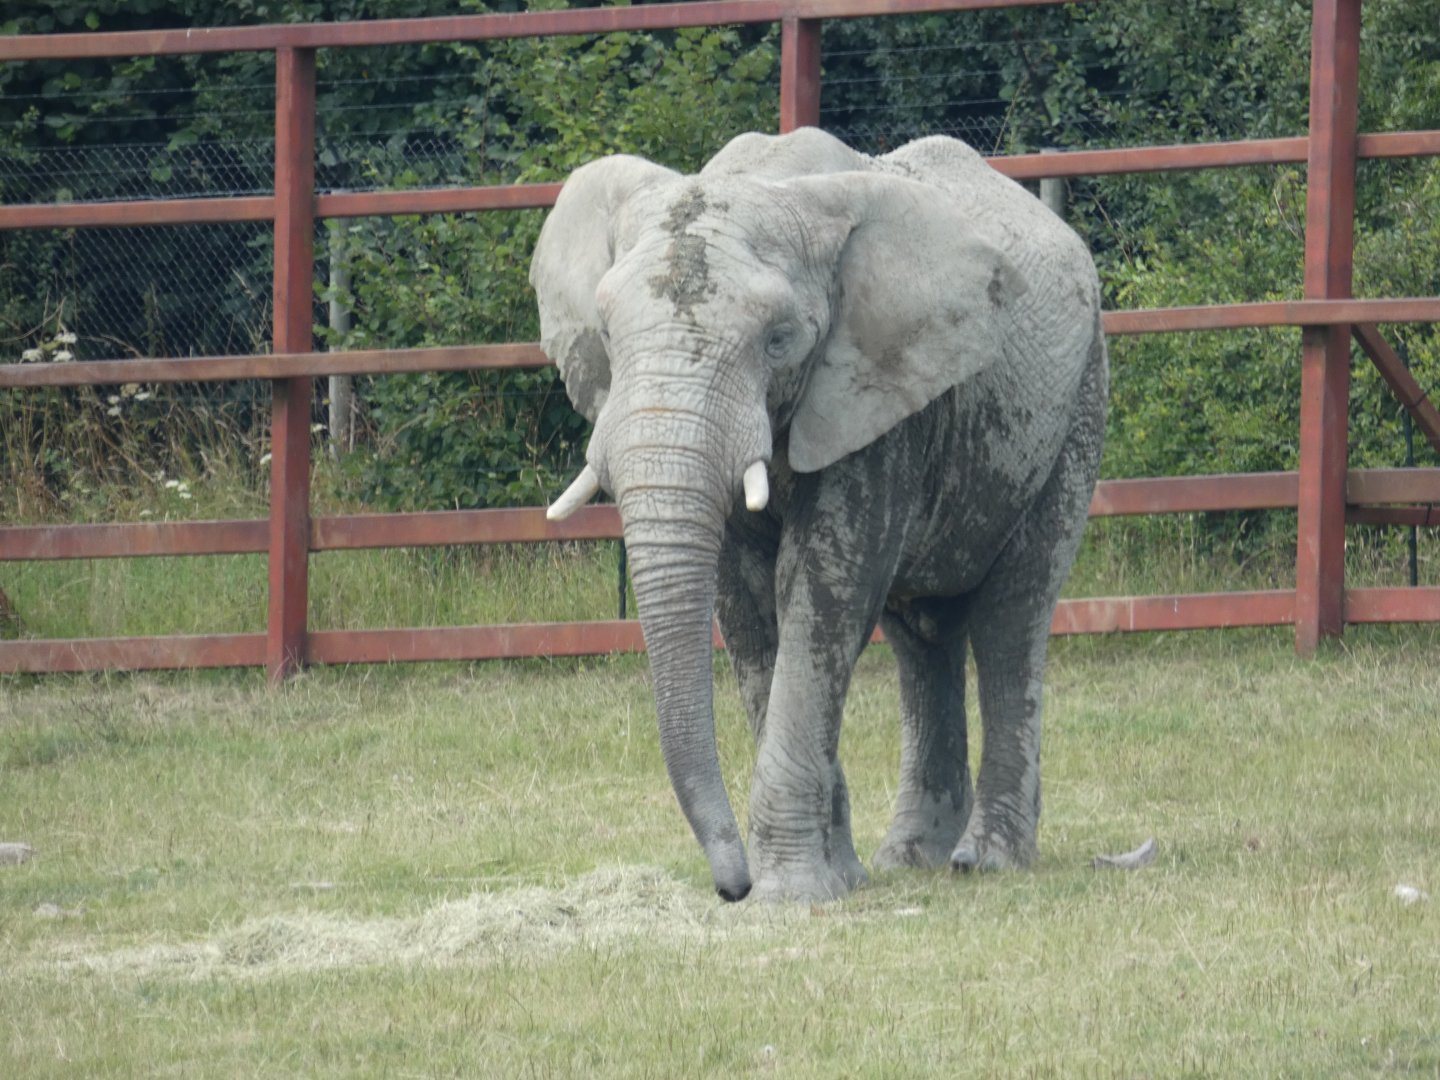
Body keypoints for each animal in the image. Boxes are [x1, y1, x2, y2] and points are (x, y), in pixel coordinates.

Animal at [529, 127, 1107, 903]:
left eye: (778, 339)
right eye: (610, 336)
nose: (730, 887)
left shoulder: (875, 398)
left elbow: (823, 590)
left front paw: (791, 894)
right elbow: (746, 607)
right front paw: (836, 878)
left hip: (1078, 406)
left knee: (1011, 618)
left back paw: (986, 860)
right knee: (924, 638)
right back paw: (910, 859)